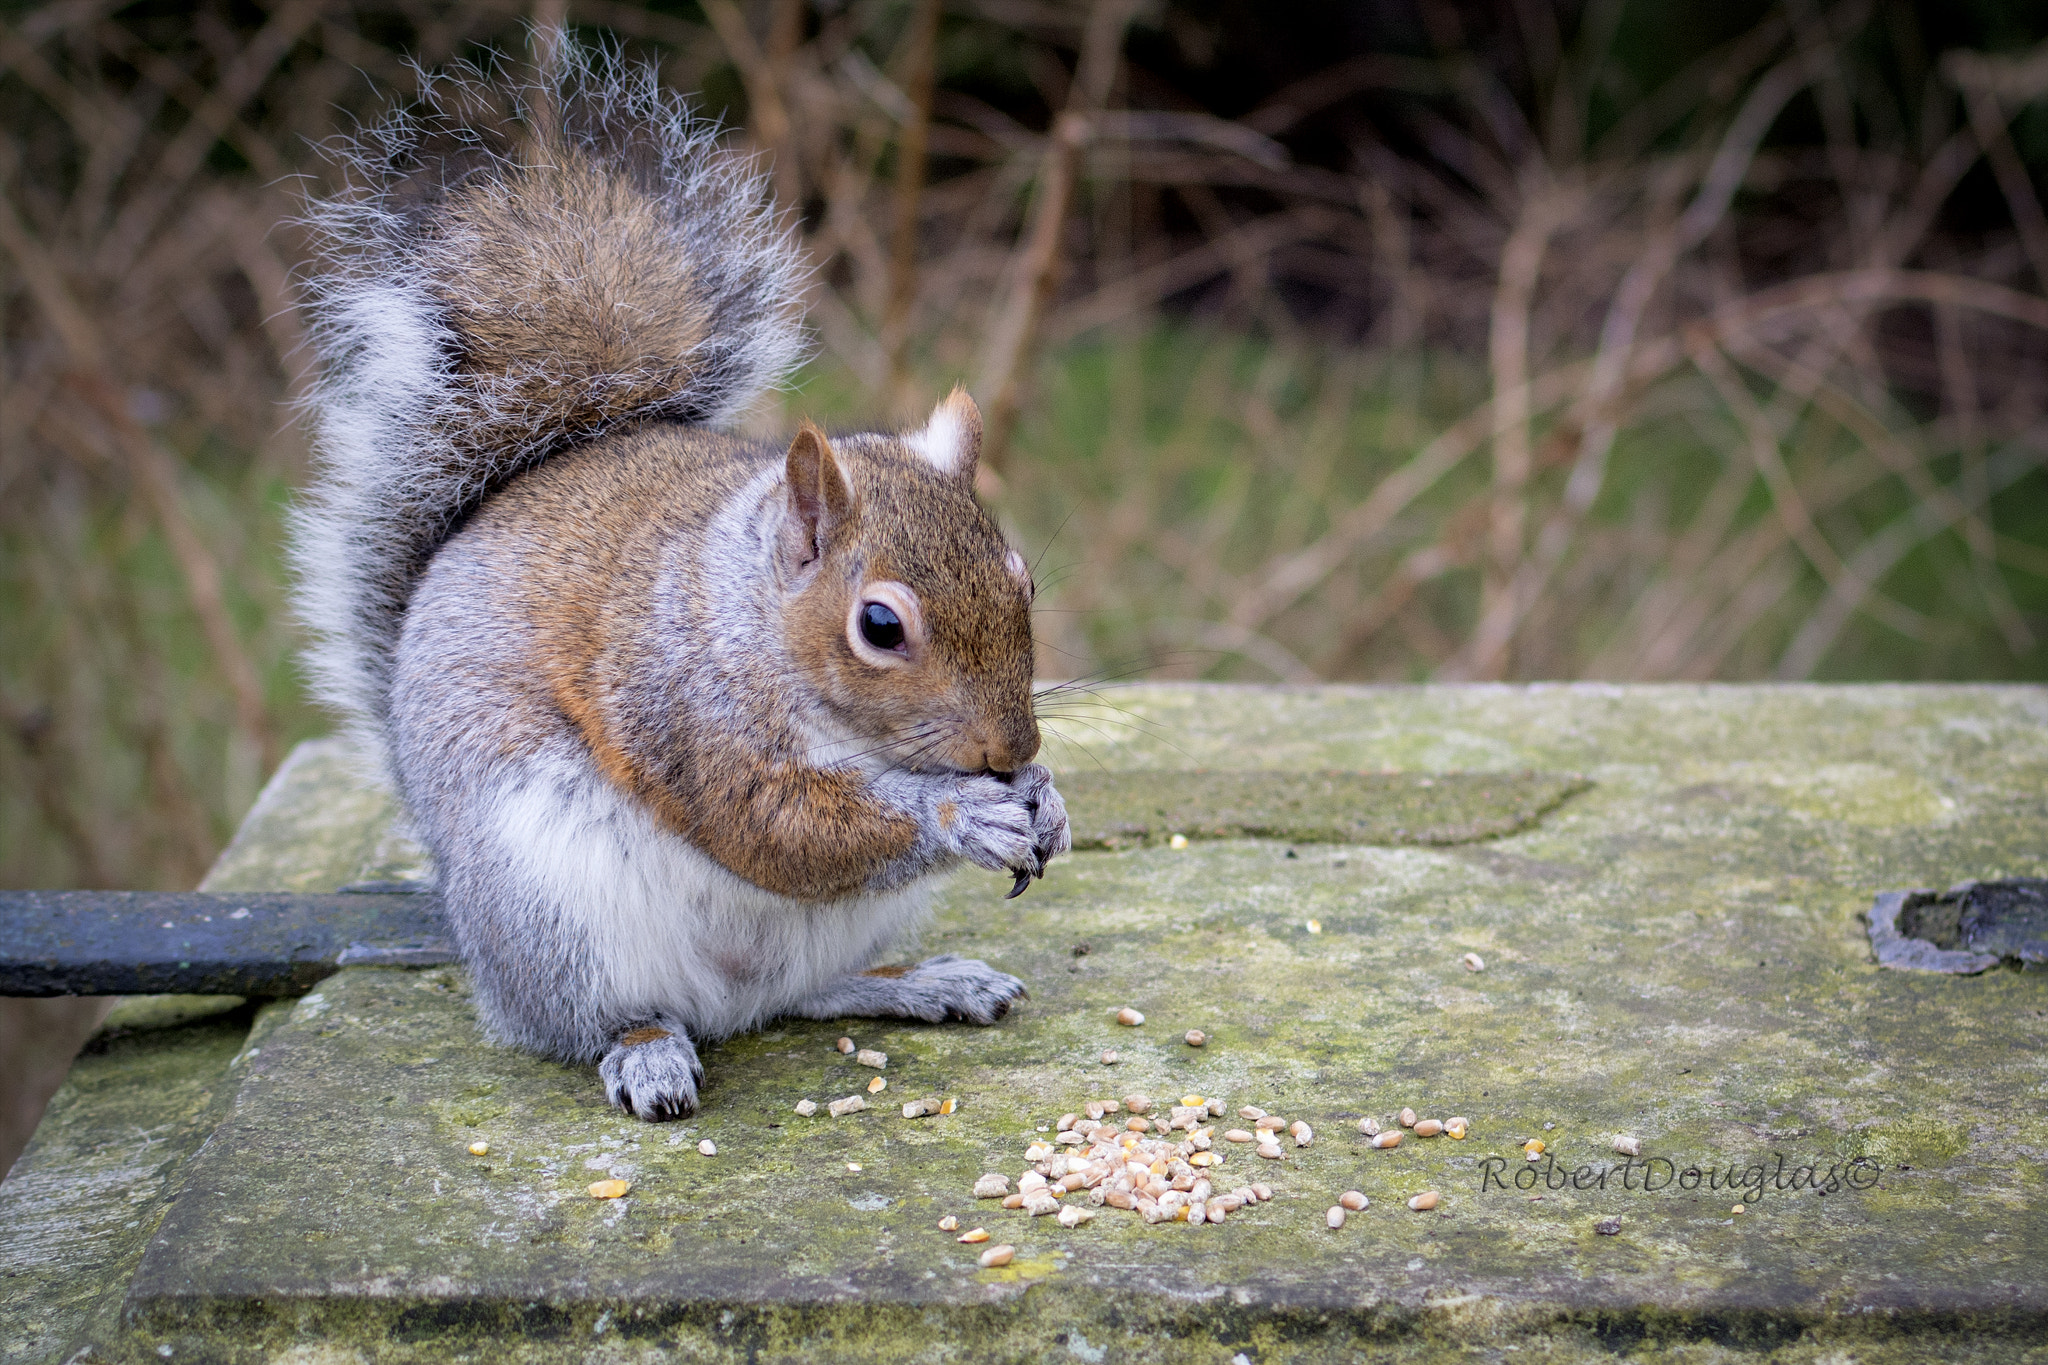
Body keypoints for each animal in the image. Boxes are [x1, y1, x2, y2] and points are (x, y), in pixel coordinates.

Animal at [296, 48, 1081, 1129]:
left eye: (1023, 582)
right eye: (879, 625)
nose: (1011, 752)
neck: (746, 612)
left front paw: (1045, 801)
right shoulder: (678, 710)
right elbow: (776, 823)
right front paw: (966, 814)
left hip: (825, 931)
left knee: (797, 994)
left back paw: (922, 982)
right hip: (551, 905)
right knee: (608, 1016)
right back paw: (648, 1053)